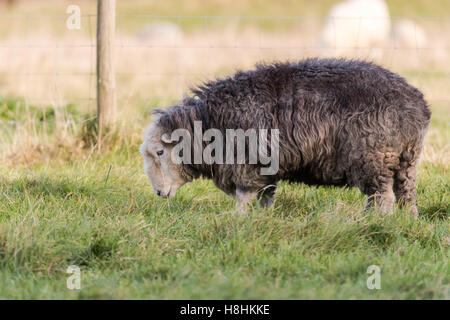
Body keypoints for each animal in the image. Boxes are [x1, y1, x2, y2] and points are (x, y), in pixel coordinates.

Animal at [140, 58, 428, 216]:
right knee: (405, 196)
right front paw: (263, 219)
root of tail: (417, 106)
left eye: (160, 152)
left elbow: (244, 197)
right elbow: (266, 197)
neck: (210, 123)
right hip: (405, 160)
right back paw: (405, 222)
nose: (158, 193)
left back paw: (376, 224)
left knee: (383, 198)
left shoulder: (247, 165)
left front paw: (238, 220)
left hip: (372, 157)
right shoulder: (266, 169)